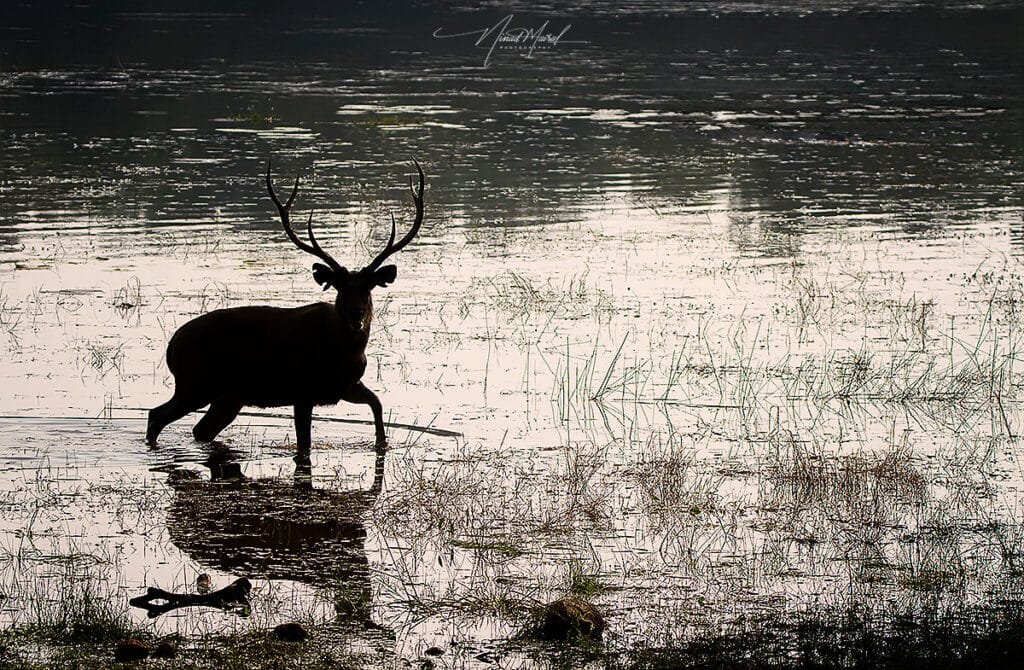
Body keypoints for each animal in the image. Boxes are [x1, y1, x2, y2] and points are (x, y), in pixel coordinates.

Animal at [145, 159, 425, 462]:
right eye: (340, 288)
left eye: (368, 288)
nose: (356, 315)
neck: (342, 354)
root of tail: (171, 346)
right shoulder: (302, 390)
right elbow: (304, 445)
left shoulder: (345, 386)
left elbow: (378, 404)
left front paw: (382, 444)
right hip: (195, 382)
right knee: (156, 415)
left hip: (229, 394)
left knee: (200, 429)